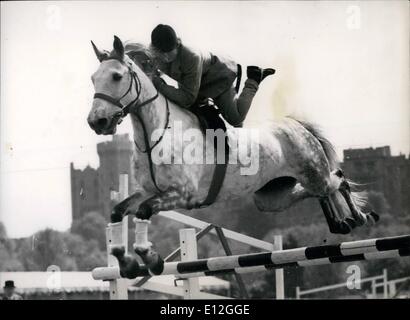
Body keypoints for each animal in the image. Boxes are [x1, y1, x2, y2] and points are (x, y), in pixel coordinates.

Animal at [86, 36, 378, 278]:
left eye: (116, 76)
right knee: (312, 192)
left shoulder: (182, 194)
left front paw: (151, 259)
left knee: (338, 179)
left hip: (313, 174)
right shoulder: (148, 190)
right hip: (272, 198)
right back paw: (341, 223)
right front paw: (125, 263)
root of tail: (294, 125)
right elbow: (117, 212)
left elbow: (143, 211)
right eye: (93, 78)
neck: (157, 133)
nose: (97, 122)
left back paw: (359, 218)